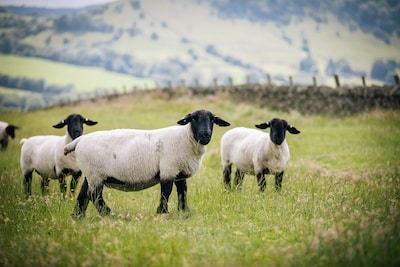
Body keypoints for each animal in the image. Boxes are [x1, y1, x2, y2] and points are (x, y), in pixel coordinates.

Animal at [63, 110, 230, 219]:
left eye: (212, 120)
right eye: (193, 119)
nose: (205, 135)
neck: (185, 138)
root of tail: (79, 140)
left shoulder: (180, 173)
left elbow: (182, 192)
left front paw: (184, 211)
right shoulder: (168, 170)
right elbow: (166, 192)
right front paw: (162, 212)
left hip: (90, 174)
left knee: (84, 194)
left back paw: (78, 215)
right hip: (95, 174)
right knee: (94, 195)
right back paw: (109, 214)